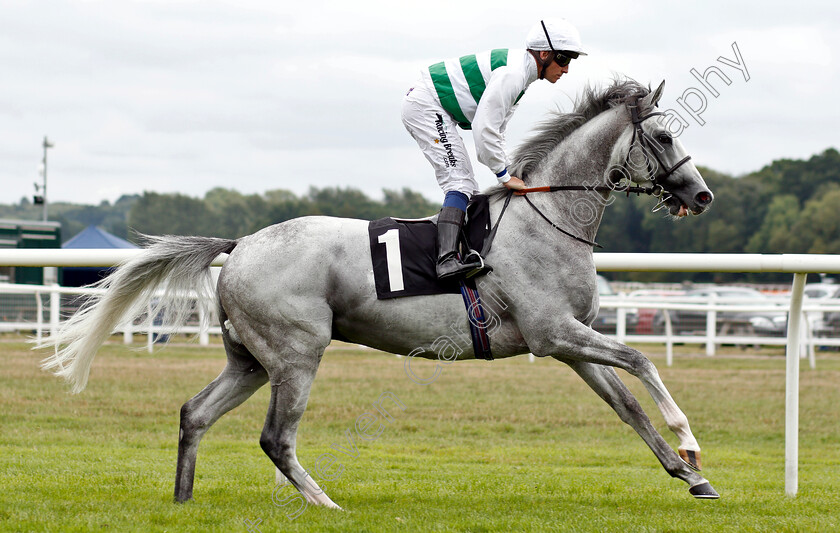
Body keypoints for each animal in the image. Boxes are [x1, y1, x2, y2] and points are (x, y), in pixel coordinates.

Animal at [37, 79, 720, 508]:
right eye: (664, 137)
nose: (701, 194)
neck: (544, 219)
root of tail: (241, 245)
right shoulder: (554, 333)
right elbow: (641, 361)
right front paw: (689, 442)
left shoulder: (567, 342)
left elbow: (627, 405)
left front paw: (689, 476)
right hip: (296, 353)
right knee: (275, 438)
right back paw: (323, 502)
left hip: (251, 360)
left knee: (195, 413)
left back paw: (183, 500)